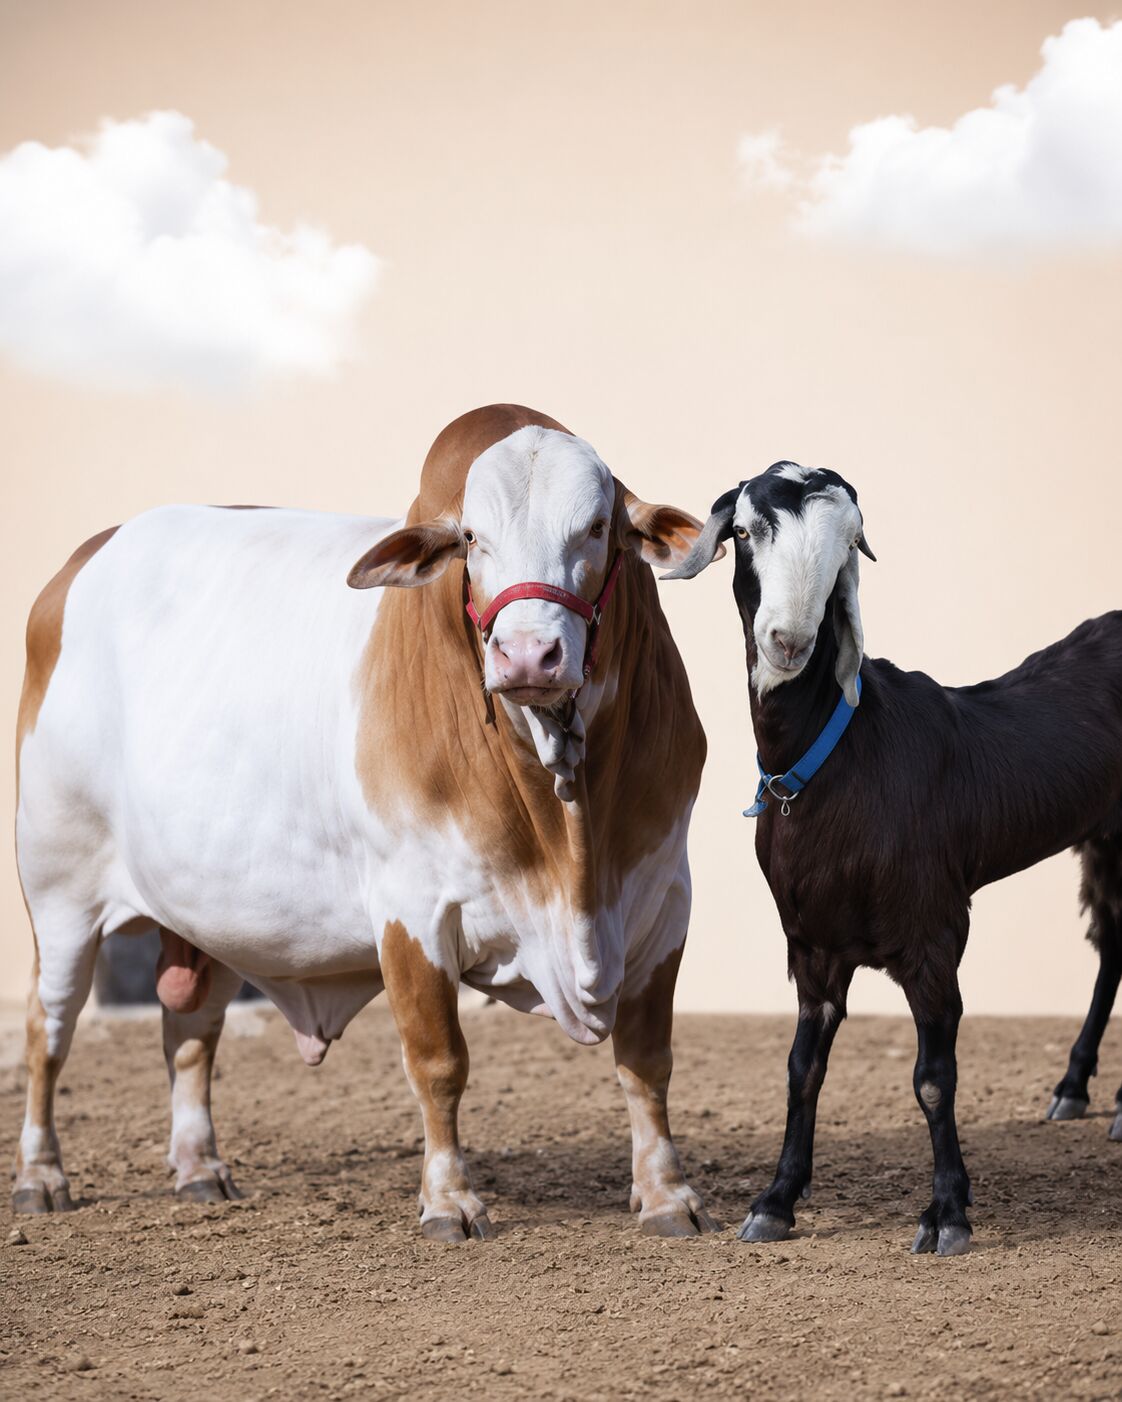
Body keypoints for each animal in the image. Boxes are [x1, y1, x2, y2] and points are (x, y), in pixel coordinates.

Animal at [13, 404, 717, 1239]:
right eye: (471, 537)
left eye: (598, 526)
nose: (528, 655)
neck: (571, 835)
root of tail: (76, 566)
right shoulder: (412, 910)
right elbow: (439, 1061)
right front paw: (449, 1198)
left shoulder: (663, 899)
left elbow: (648, 1061)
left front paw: (667, 1193)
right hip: (59, 894)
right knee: (48, 1031)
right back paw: (41, 1175)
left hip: (208, 913)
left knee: (189, 1031)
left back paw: (198, 1167)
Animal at [669, 461, 1122, 1255]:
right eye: (745, 532)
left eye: (846, 546)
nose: (789, 640)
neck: (839, 760)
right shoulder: (811, 944)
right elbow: (801, 1069)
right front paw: (776, 1201)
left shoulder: (933, 931)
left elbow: (933, 1078)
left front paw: (947, 1213)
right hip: (1101, 834)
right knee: (1117, 943)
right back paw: (1073, 1089)